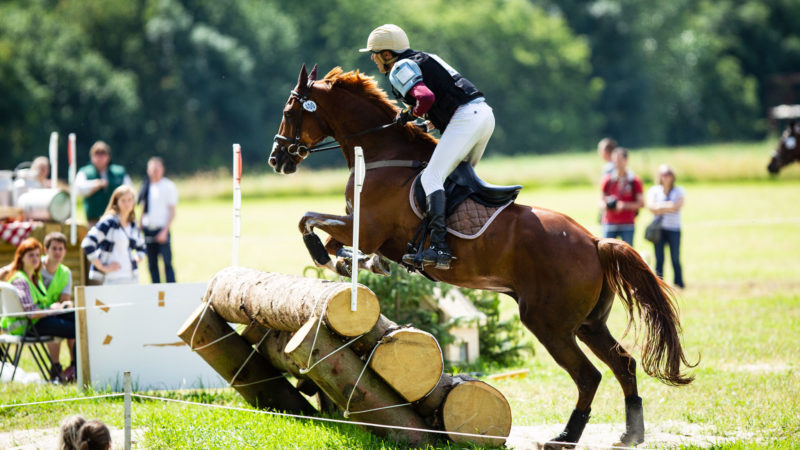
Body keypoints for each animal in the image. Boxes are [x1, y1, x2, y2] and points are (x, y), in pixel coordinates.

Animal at [268, 63, 692, 446]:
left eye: (289, 110)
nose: (277, 159)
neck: (381, 154)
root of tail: (593, 242)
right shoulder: (359, 227)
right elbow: (331, 240)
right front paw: (353, 263)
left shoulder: (367, 229)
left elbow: (309, 222)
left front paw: (334, 259)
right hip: (588, 323)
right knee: (623, 363)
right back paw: (631, 432)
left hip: (549, 324)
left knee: (589, 376)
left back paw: (567, 435)